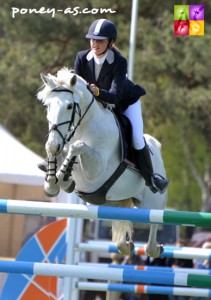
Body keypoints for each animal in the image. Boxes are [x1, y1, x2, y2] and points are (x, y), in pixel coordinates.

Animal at [37, 68, 167, 258]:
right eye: (47, 106)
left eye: (69, 106)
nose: (54, 144)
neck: (83, 126)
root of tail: (155, 146)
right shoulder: (62, 143)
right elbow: (60, 151)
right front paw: (52, 182)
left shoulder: (96, 169)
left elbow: (77, 146)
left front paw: (63, 178)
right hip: (113, 202)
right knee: (121, 233)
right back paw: (126, 245)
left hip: (152, 203)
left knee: (153, 227)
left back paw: (156, 248)